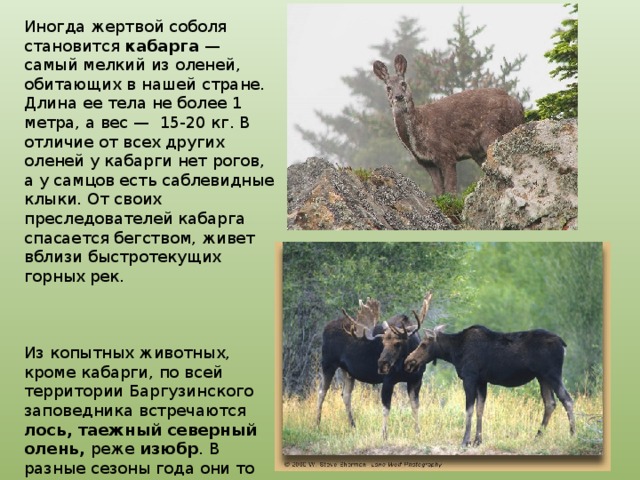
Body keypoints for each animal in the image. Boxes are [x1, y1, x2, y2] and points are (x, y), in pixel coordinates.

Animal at [316, 294, 430, 439]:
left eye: (398, 343)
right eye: (382, 342)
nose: (382, 364)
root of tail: (325, 328)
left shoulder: (416, 380)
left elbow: (415, 406)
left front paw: (418, 432)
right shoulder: (388, 380)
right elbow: (386, 408)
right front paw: (384, 434)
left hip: (347, 371)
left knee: (346, 394)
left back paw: (352, 425)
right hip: (328, 363)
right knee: (321, 391)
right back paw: (317, 424)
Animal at [373, 54, 524, 195]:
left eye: (403, 83)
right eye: (388, 88)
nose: (399, 96)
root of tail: (520, 107)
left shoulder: (446, 152)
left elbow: (451, 191)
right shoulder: (427, 163)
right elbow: (439, 191)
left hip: (491, 132)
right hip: (478, 151)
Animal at [404, 324, 576, 446]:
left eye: (424, 344)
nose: (409, 361)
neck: (454, 352)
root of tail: (563, 344)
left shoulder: (470, 378)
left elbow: (469, 410)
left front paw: (465, 441)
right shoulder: (482, 381)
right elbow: (480, 409)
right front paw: (477, 441)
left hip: (552, 374)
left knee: (567, 399)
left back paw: (573, 434)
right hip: (542, 377)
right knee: (550, 403)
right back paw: (538, 436)